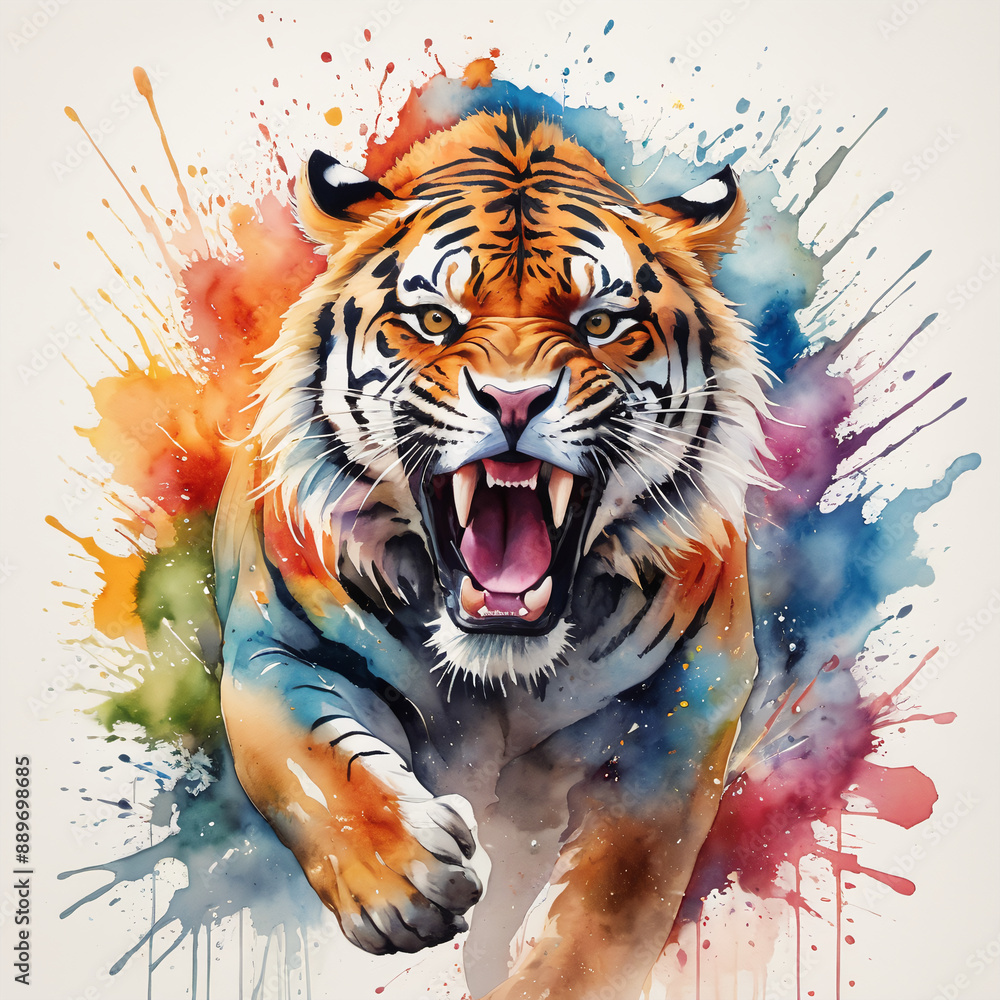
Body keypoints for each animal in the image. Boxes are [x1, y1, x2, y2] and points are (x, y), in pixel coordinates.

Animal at [213, 108, 772, 999]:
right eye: (436, 319)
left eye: (600, 323)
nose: (514, 401)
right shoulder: (277, 647)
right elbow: (314, 768)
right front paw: (408, 884)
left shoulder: (683, 706)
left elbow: (613, 896)